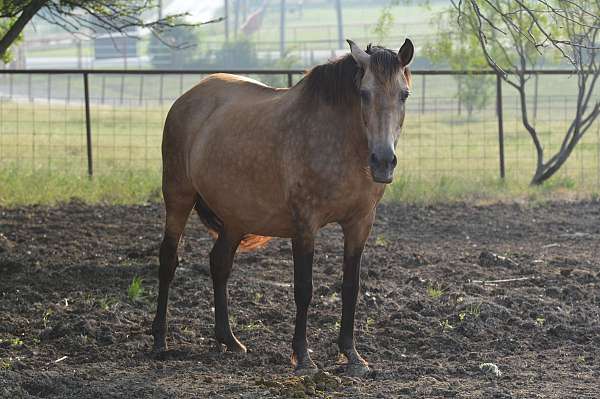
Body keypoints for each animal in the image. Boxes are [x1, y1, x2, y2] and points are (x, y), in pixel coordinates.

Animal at [152, 39, 414, 376]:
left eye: (404, 94)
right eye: (364, 93)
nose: (383, 162)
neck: (343, 141)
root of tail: (188, 97)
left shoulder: (360, 224)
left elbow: (351, 287)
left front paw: (352, 355)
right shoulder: (304, 224)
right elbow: (304, 289)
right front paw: (302, 357)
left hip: (236, 217)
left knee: (219, 264)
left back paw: (229, 340)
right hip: (178, 197)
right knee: (168, 261)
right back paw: (160, 341)